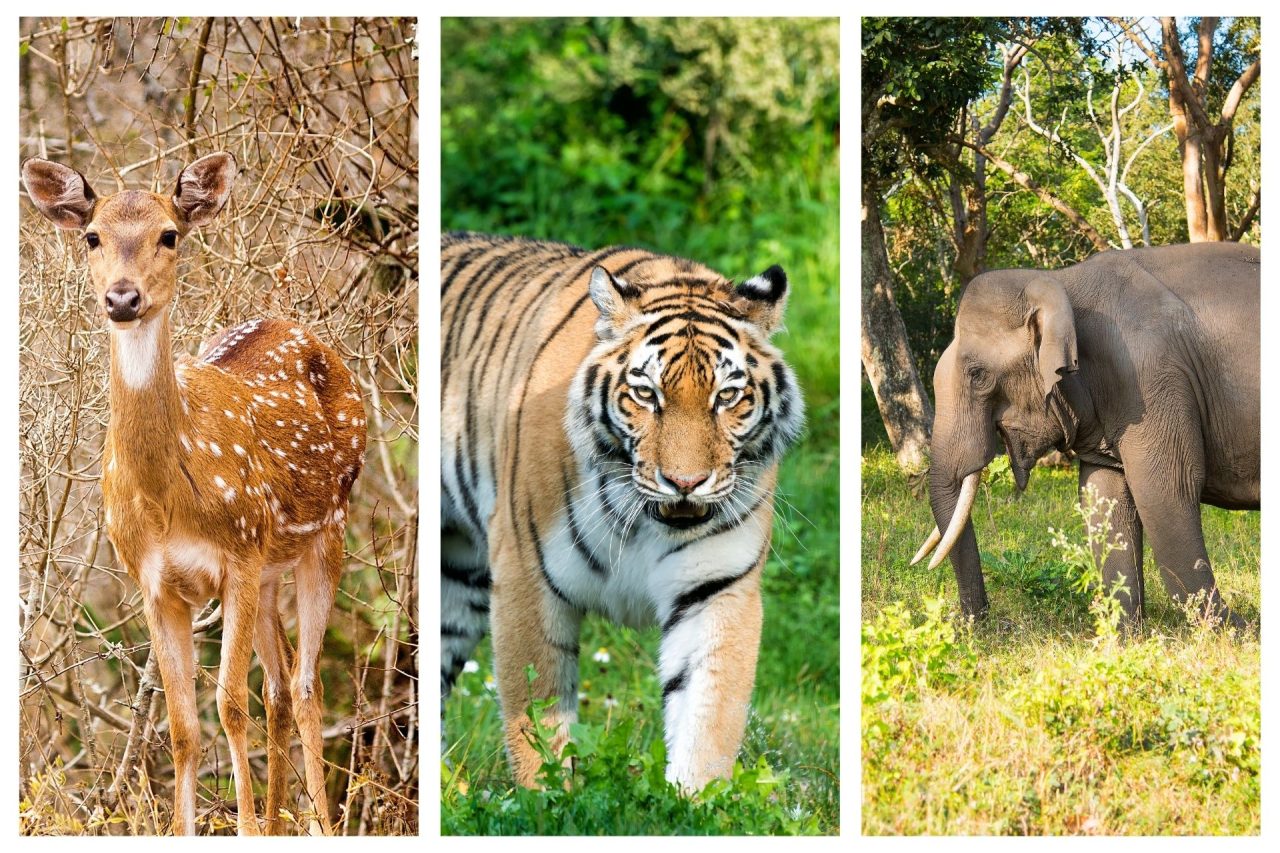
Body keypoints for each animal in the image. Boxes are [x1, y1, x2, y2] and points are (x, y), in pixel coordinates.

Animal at [22, 153, 368, 829]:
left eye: (169, 234)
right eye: (92, 236)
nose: (122, 297)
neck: (168, 500)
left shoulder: (236, 556)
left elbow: (228, 705)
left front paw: (250, 829)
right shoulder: (155, 583)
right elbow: (182, 727)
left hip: (327, 528)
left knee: (306, 686)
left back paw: (318, 822)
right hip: (270, 564)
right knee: (279, 688)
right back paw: (285, 817)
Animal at [440, 229, 798, 788]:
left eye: (727, 397)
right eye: (646, 394)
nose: (685, 483)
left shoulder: (717, 587)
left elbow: (708, 716)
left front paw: (696, 799)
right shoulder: (525, 576)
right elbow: (537, 719)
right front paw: (550, 796)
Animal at [911, 242, 1259, 622]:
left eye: (977, 375)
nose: (979, 625)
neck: (1061, 281)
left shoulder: (1152, 380)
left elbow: (1166, 489)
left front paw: (1233, 630)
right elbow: (1102, 495)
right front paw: (1125, 632)